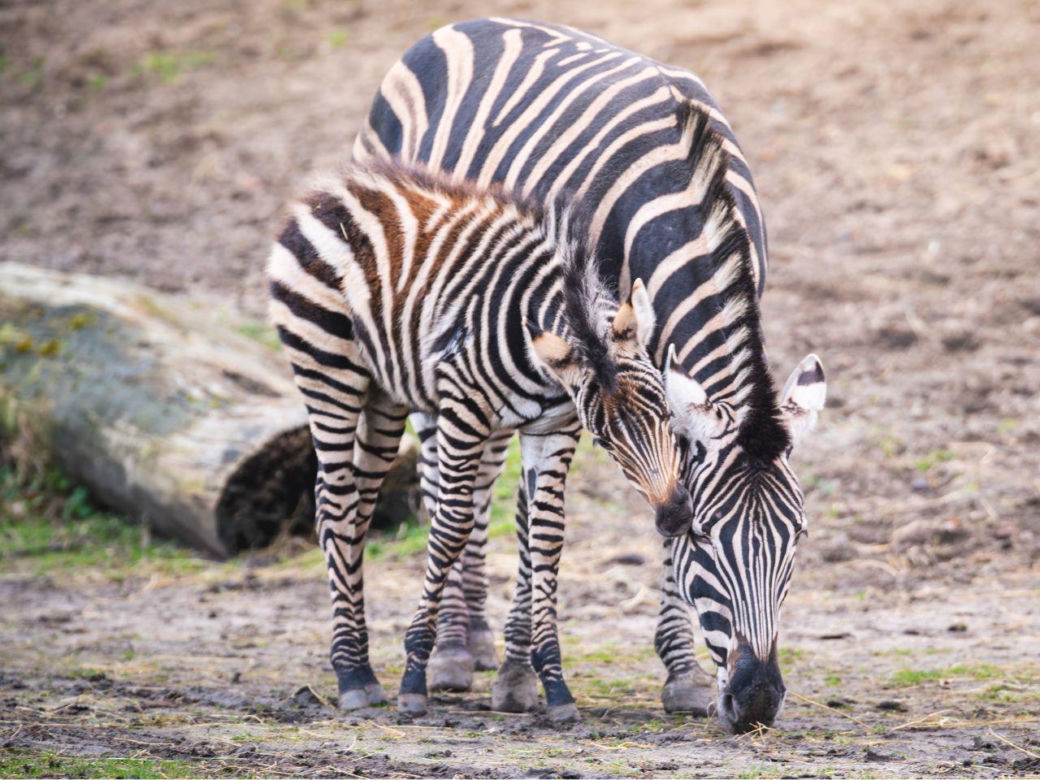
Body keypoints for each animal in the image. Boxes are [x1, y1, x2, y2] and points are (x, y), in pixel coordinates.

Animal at [267, 160, 696, 720]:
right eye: (605, 440)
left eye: (666, 412)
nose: (676, 516)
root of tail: (331, 190)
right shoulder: (463, 409)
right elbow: (451, 526)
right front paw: (414, 675)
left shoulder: (552, 427)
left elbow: (547, 536)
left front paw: (555, 684)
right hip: (327, 365)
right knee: (335, 504)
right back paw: (352, 675)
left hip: (385, 393)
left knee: (356, 508)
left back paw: (359, 660)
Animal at [353, 18, 827, 732]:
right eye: (706, 539)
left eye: (795, 538)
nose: (758, 702)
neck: (678, 197)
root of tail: (461, 24)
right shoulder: (578, 369)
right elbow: (539, 521)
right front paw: (520, 674)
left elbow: (656, 493)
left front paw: (681, 674)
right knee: (444, 477)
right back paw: (455, 652)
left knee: (483, 475)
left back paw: (476, 639)